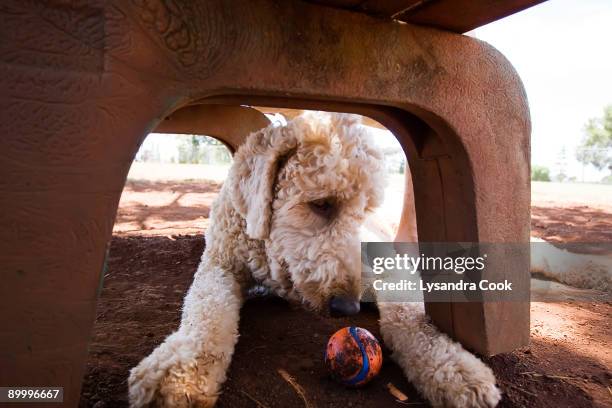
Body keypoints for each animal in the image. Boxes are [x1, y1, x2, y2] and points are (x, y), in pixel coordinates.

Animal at [129, 112, 502, 408]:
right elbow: (206, 308)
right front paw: (181, 373)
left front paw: (454, 368)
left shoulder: (385, 267)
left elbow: (410, 316)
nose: (348, 307)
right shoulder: (220, 263)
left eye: (364, 209)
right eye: (322, 204)